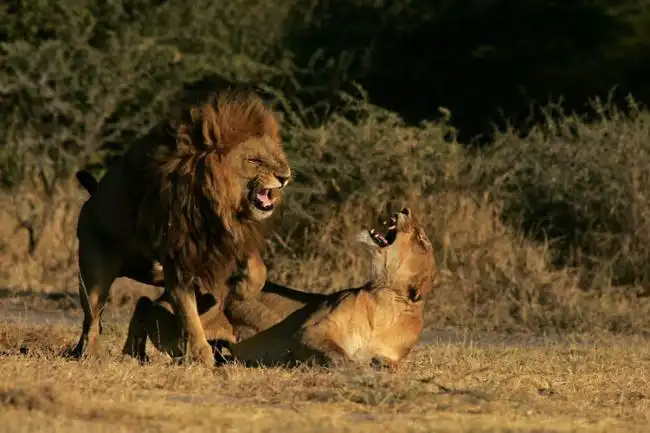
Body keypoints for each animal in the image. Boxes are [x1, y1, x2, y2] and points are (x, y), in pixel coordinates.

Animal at [69, 89, 292, 367]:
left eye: (277, 156)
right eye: (254, 160)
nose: (285, 176)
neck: (217, 206)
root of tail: (92, 198)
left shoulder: (230, 241)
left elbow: (257, 272)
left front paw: (239, 290)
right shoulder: (179, 258)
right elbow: (188, 315)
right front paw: (201, 355)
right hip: (95, 269)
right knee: (92, 315)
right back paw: (90, 352)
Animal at [121, 207, 437, 370]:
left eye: (421, 240)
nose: (405, 208)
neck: (386, 300)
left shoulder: (392, 354)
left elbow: (389, 363)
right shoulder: (313, 330)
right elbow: (334, 352)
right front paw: (352, 366)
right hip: (179, 330)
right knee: (145, 305)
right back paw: (132, 353)